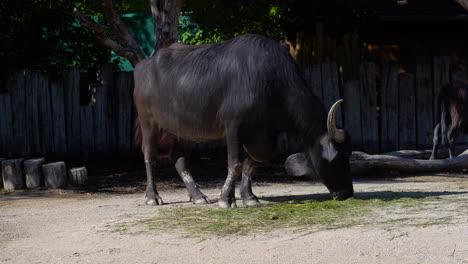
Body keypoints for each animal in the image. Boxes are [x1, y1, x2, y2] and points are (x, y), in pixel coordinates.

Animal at [133, 33, 352, 208]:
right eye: (341, 155)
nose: (347, 193)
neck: (269, 80)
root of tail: (143, 66)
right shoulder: (233, 126)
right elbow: (235, 163)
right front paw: (226, 199)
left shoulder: (261, 133)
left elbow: (252, 163)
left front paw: (249, 197)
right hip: (149, 122)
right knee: (149, 155)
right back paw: (153, 197)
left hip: (185, 130)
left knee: (179, 159)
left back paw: (198, 196)